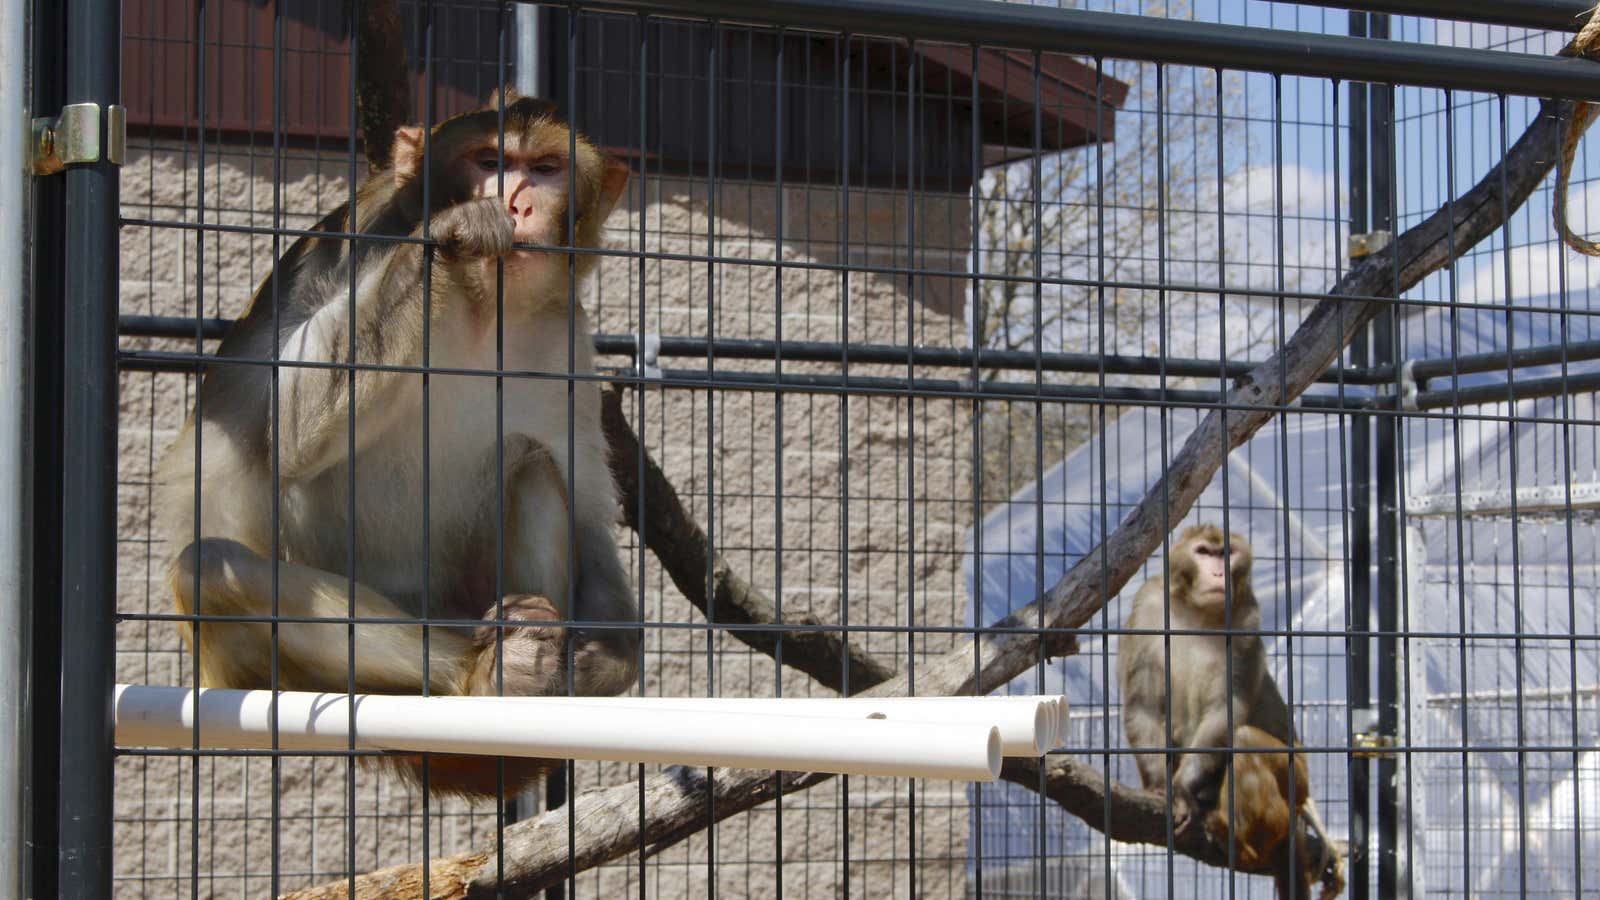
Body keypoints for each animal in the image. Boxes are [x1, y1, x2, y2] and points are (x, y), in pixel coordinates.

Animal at [156, 89, 640, 791]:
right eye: (490, 160)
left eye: (546, 168)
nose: (517, 204)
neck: (481, 306)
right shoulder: (353, 241)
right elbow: (285, 428)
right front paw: (454, 233)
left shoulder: (565, 339)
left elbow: (588, 513)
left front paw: (606, 658)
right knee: (211, 570)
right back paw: (487, 675)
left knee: (531, 464)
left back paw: (533, 666)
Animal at [1120, 522, 1344, 890]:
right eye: (1204, 552)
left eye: (1226, 553)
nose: (1218, 572)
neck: (1197, 610)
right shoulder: (1147, 606)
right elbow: (1145, 705)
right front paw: (1159, 784)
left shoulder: (1245, 618)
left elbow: (1226, 709)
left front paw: (1181, 788)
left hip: (1297, 781)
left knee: (1245, 741)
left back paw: (1242, 840)